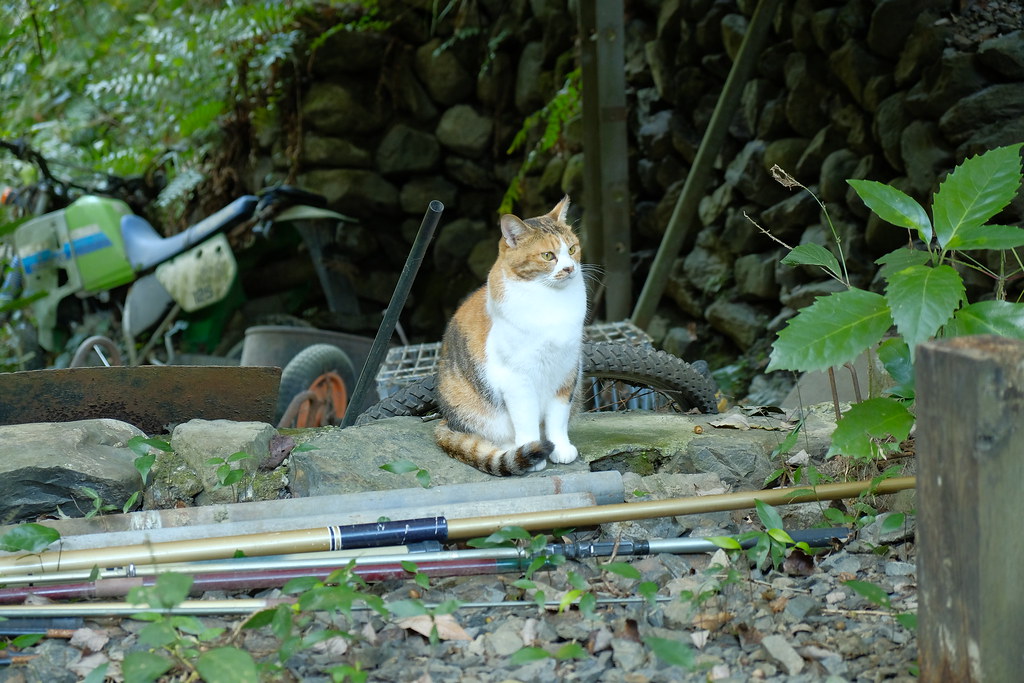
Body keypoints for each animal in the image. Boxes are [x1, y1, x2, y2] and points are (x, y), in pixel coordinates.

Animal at [436, 196, 589, 475]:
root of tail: (446, 420)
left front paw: (560, 448)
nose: (570, 268)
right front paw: (534, 453)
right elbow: (526, 420)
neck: (551, 303)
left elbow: (558, 418)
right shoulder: (517, 379)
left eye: (572, 249)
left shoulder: (566, 371)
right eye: (548, 256)